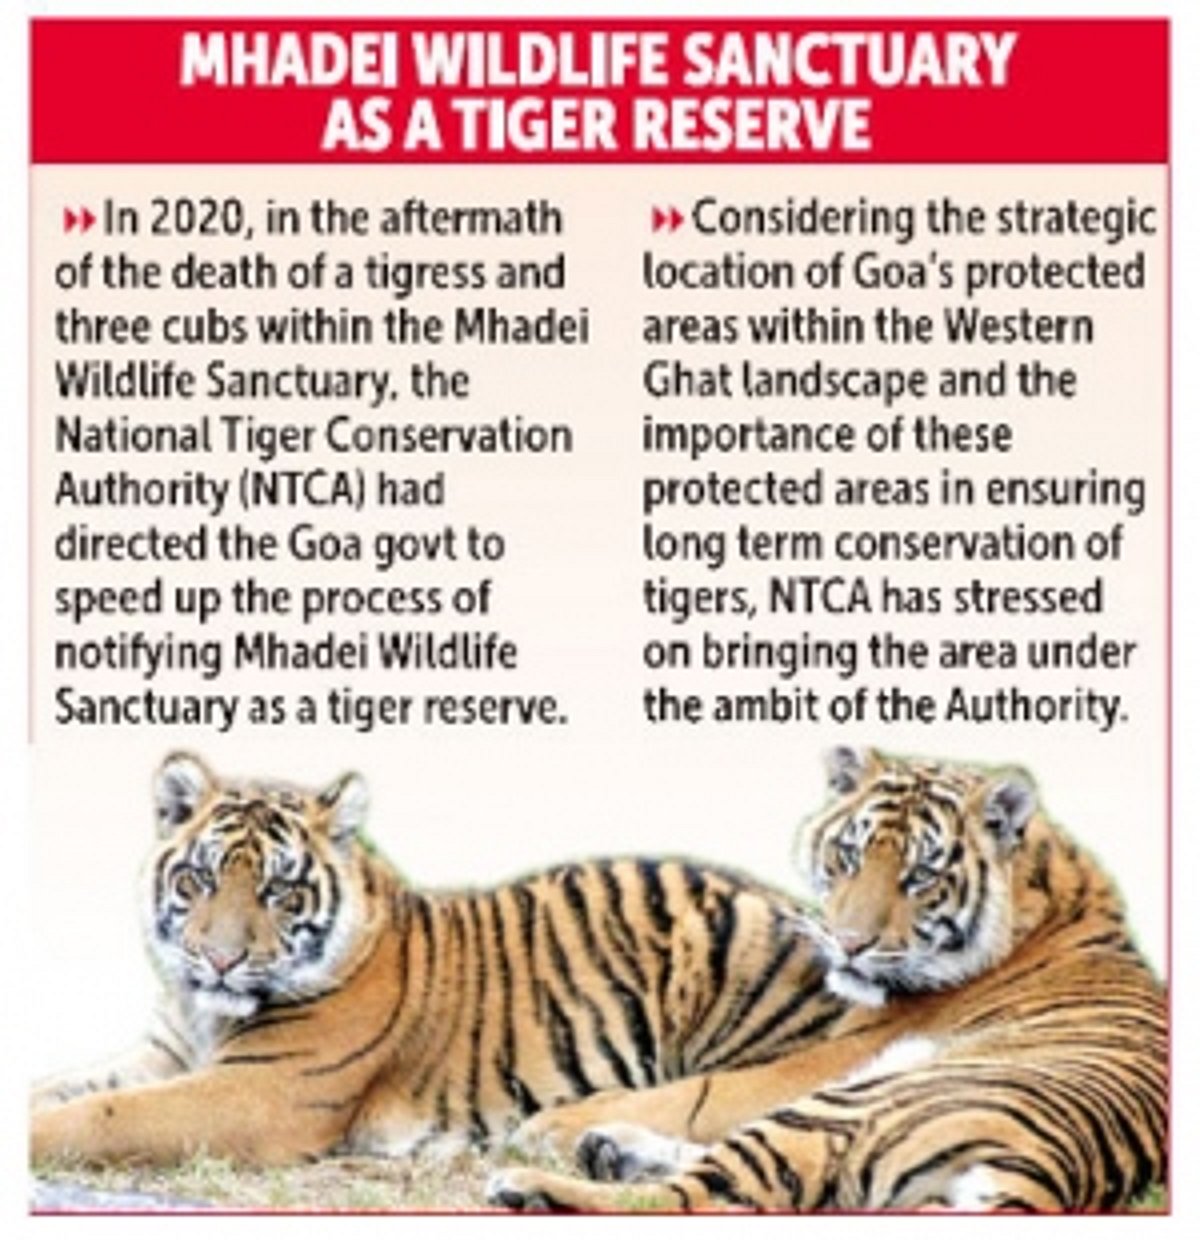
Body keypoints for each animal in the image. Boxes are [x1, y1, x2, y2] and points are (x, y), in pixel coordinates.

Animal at [31, 751, 848, 1168]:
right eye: (198, 879)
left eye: (279, 891)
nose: (220, 960)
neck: (203, 1013)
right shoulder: (163, 1056)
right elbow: (64, 1086)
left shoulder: (260, 1092)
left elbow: (104, 1115)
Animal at [488, 746, 1167, 1212]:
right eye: (850, 854)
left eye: (920, 876)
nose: (848, 943)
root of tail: (1045, 1176)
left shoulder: (822, 1061)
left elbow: (694, 1093)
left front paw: (544, 1124)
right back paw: (610, 1149)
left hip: (848, 1100)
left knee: (687, 1199)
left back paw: (530, 1184)